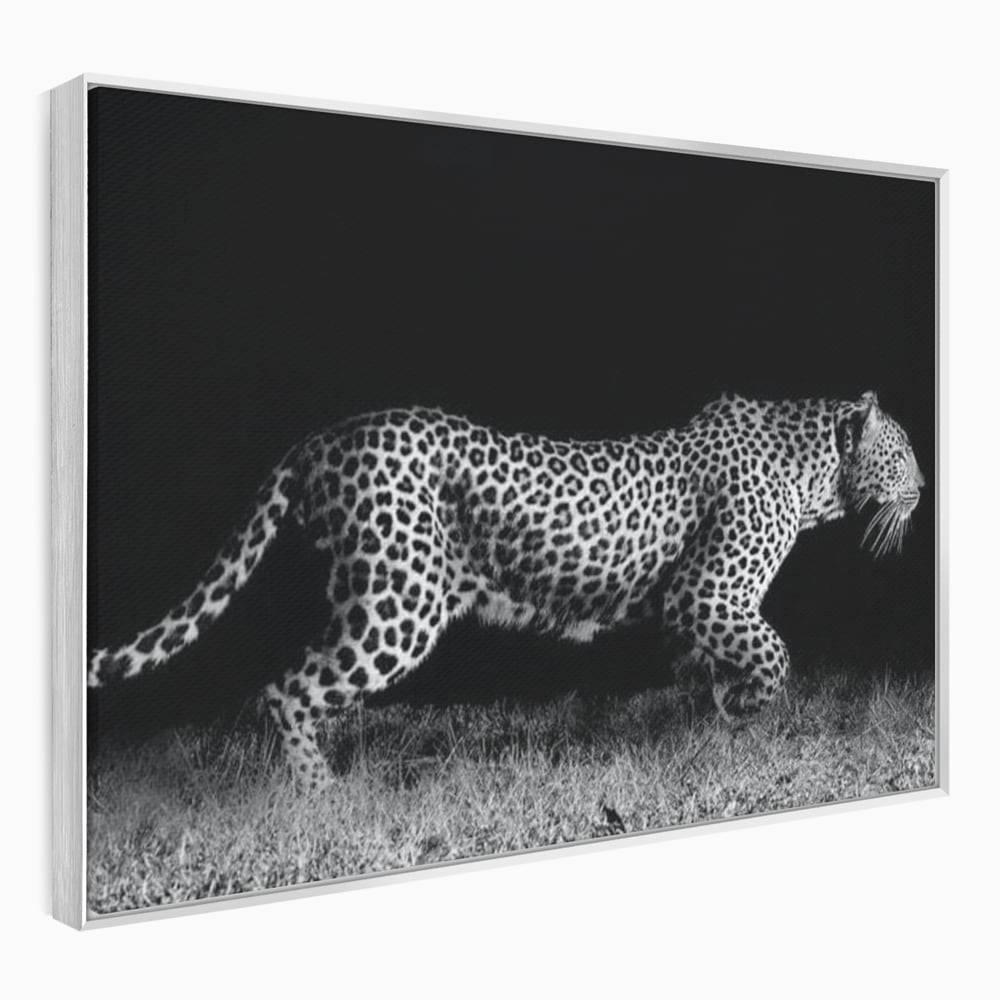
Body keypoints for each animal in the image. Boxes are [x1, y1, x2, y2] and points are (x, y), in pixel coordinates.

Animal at [89, 390, 925, 790]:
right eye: (905, 450)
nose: (923, 487)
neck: (814, 474)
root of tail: (323, 437)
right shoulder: (708, 594)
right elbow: (773, 653)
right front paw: (747, 708)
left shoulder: (696, 614)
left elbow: (715, 670)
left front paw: (717, 723)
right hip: (399, 603)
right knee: (285, 688)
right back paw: (321, 796)